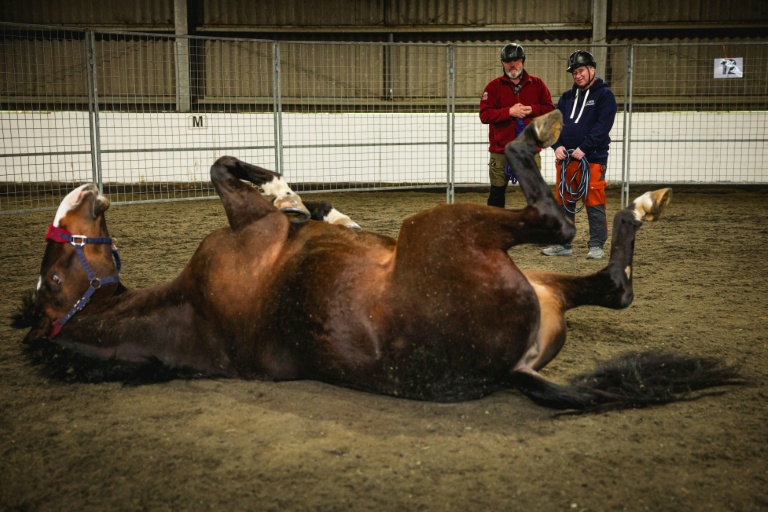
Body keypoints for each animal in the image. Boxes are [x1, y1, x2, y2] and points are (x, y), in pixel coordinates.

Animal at [12, 110, 741, 411]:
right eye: (54, 277)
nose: (80, 194)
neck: (193, 312)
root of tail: (513, 370)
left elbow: (230, 167)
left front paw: (323, 210)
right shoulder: (248, 227)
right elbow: (224, 170)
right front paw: (290, 194)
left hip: (543, 282)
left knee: (613, 284)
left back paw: (639, 202)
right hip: (446, 227)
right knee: (557, 221)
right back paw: (549, 137)